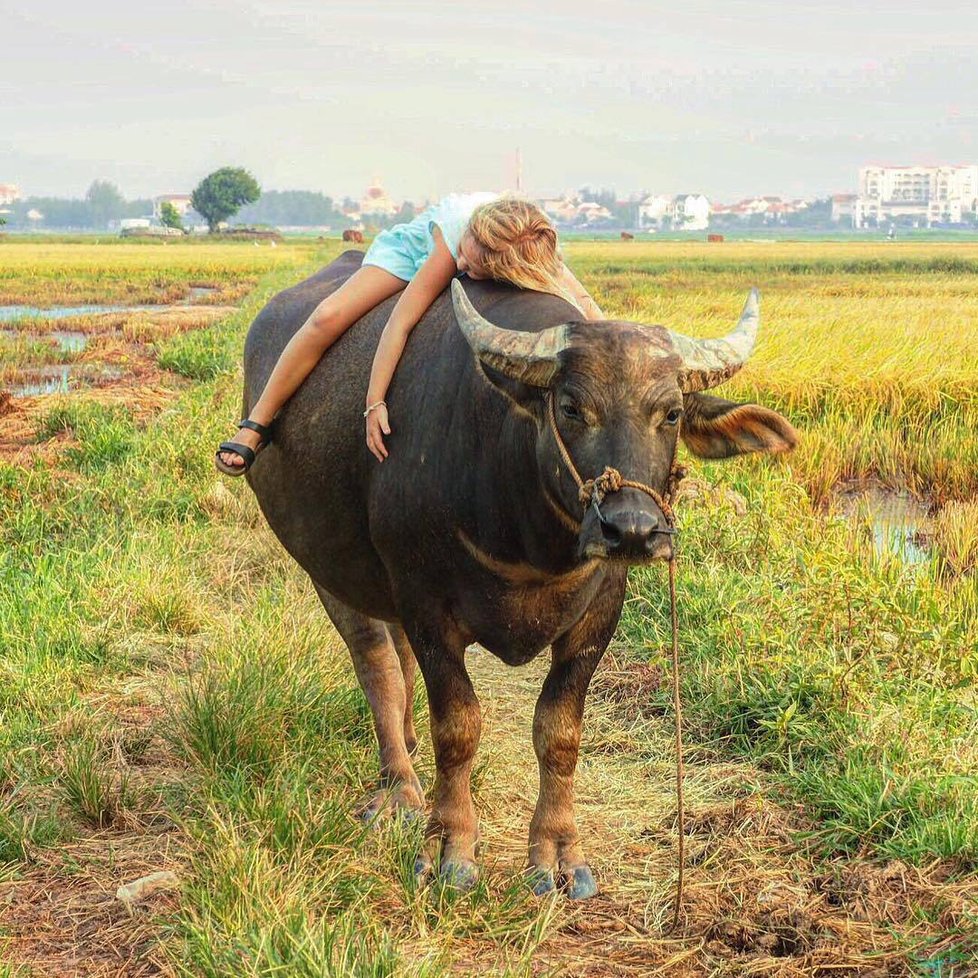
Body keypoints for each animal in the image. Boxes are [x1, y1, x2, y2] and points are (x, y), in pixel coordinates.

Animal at [242, 250, 792, 900]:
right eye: (571, 407)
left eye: (672, 413)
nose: (632, 530)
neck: (528, 537)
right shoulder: (427, 607)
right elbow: (457, 729)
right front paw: (450, 847)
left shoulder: (598, 614)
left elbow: (558, 732)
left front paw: (557, 853)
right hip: (327, 570)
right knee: (375, 664)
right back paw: (399, 790)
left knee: (393, 660)